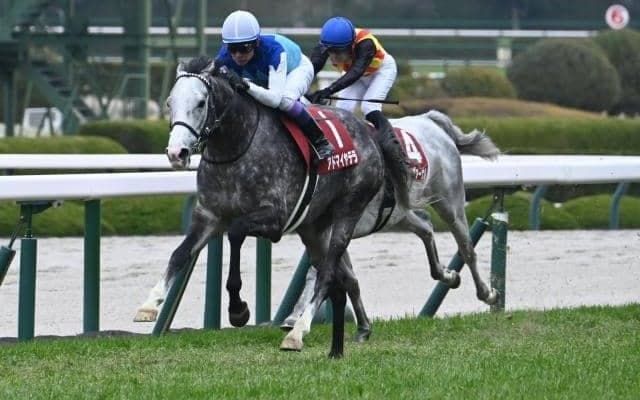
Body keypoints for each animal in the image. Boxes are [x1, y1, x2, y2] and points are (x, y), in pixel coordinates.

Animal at [133, 56, 411, 358]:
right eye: (169, 102)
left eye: (201, 102)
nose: (177, 153)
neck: (236, 147)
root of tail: (368, 134)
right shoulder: (208, 215)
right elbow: (179, 254)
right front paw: (149, 304)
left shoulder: (275, 218)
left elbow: (235, 233)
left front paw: (238, 310)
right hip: (313, 227)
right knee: (342, 275)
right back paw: (362, 328)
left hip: (349, 210)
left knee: (327, 273)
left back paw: (298, 332)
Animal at [280, 110, 500, 337]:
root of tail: (429, 119)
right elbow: (344, 277)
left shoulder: (333, 228)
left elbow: (324, 273)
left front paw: (299, 321)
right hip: (398, 212)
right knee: (426, 227)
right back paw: (448, 275)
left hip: (449, 202)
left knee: (466, 248)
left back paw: (487, 293)